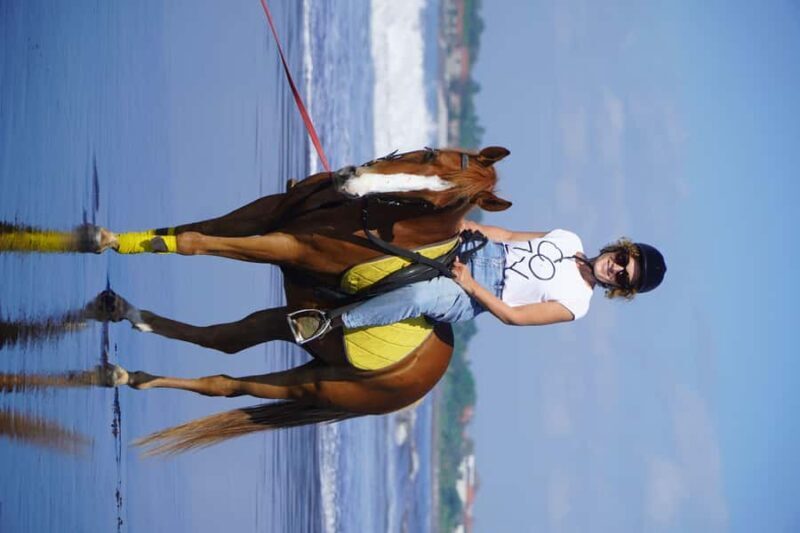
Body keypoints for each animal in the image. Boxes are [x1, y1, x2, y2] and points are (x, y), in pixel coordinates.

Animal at [63, 146, 511, 453]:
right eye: (431, 155)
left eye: (429, 203)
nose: (349, 178)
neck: (362, 215)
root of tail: (426, 380)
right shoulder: (265, 211)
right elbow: (190, 228)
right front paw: (109, 238)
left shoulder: (289, 246)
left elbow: (193, 242)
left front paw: (131, 242)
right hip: (291, 325)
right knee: (226, 340)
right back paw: (125, 327)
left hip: (319, 386)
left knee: (228, 385)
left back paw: (126, 363)